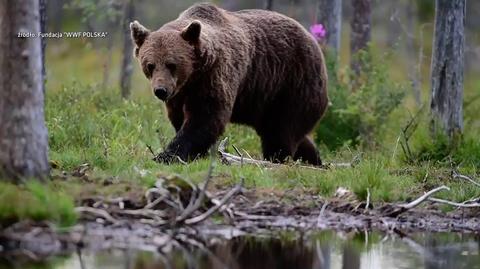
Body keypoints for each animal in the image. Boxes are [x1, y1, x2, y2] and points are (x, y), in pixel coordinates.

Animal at [129, 3, 328, 164]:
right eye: (150, 65)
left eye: (172, 64)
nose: (160, 90)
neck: (192, 76)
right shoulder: (179, 94)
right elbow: (180, 118)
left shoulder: (214, 76)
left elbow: (205, 117)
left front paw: (167, 155)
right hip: (264, 101)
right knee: (288, 131)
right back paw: (314, 159)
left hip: (292, 83)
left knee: (282, 130)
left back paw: (277, 158)